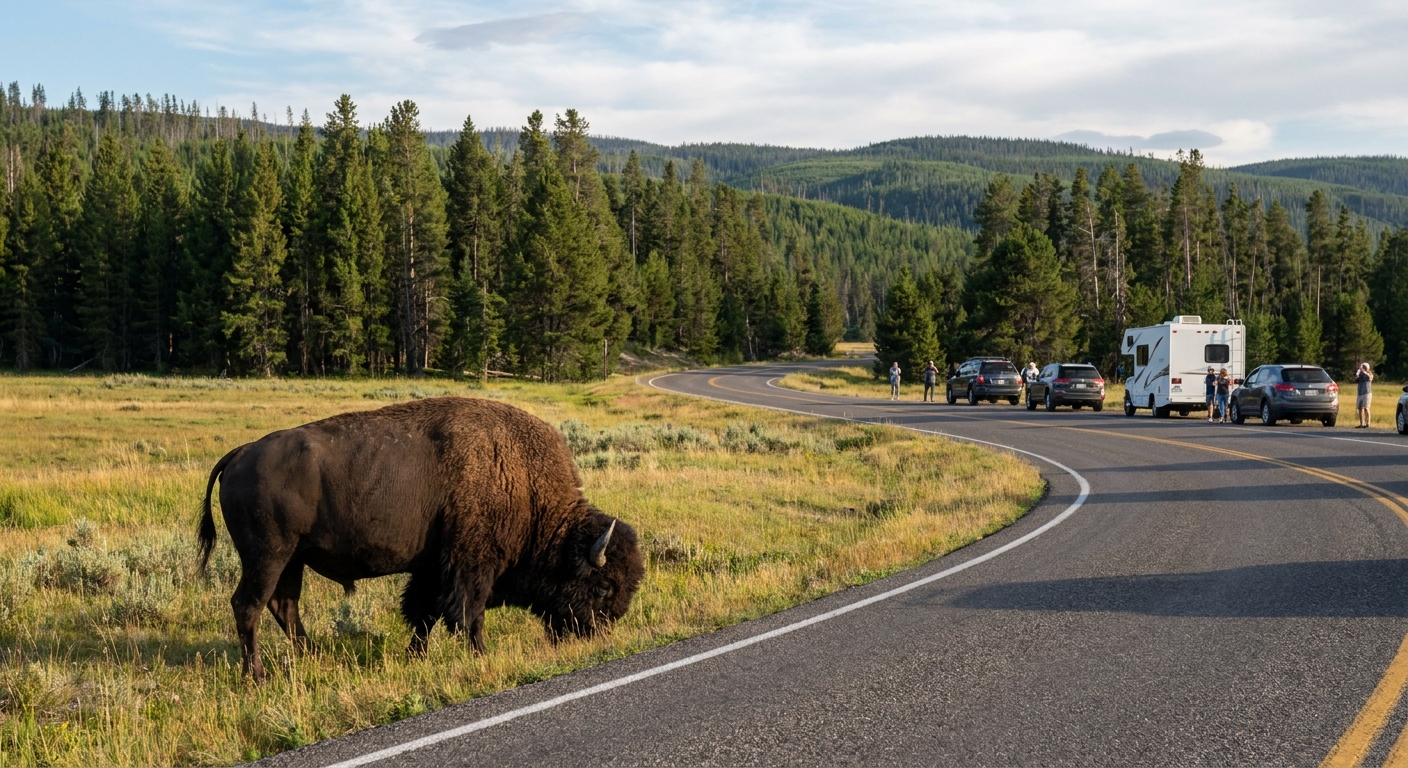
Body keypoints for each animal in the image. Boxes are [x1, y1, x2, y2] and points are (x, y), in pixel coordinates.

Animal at [198, 396, 645, 681]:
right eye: (603, 588)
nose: (595, 637)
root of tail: (240, 453)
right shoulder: (471, 565)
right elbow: (467, 614)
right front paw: (481, 656)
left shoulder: (433, 566)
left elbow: (424, 614)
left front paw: (415, 657)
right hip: (268, 556)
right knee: (248, 606)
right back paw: (257, 677)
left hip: (292, 559)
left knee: (284, 607)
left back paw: (315, 658)